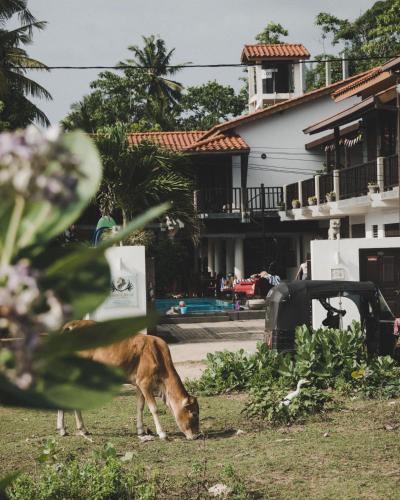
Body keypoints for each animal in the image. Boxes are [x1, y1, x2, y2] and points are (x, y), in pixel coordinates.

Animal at [56, 320, 200, 442]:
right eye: (194, 414)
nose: (196, 435)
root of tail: (73, 324)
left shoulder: (138, 384)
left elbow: (140, 406)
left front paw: (141, 430)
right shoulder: (145, 382)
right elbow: (153, 408)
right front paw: (162, 433)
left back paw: (79, 429)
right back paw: (64, 429)